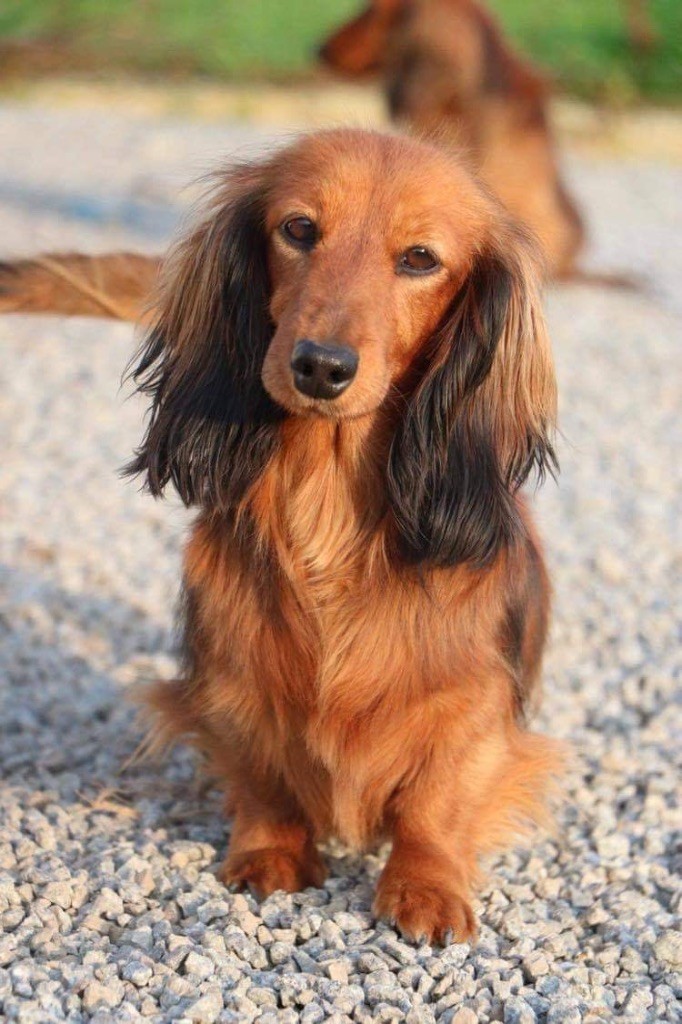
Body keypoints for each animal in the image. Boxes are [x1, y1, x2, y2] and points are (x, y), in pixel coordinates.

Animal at [2, 129, 562, 943]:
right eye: (298, 229)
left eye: (420, 259)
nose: (321, 367)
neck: (329, 507)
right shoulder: (234, 675)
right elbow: (262, 773)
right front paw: (271, 855)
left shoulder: (472, 702)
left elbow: (437, 798)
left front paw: (425, 885)